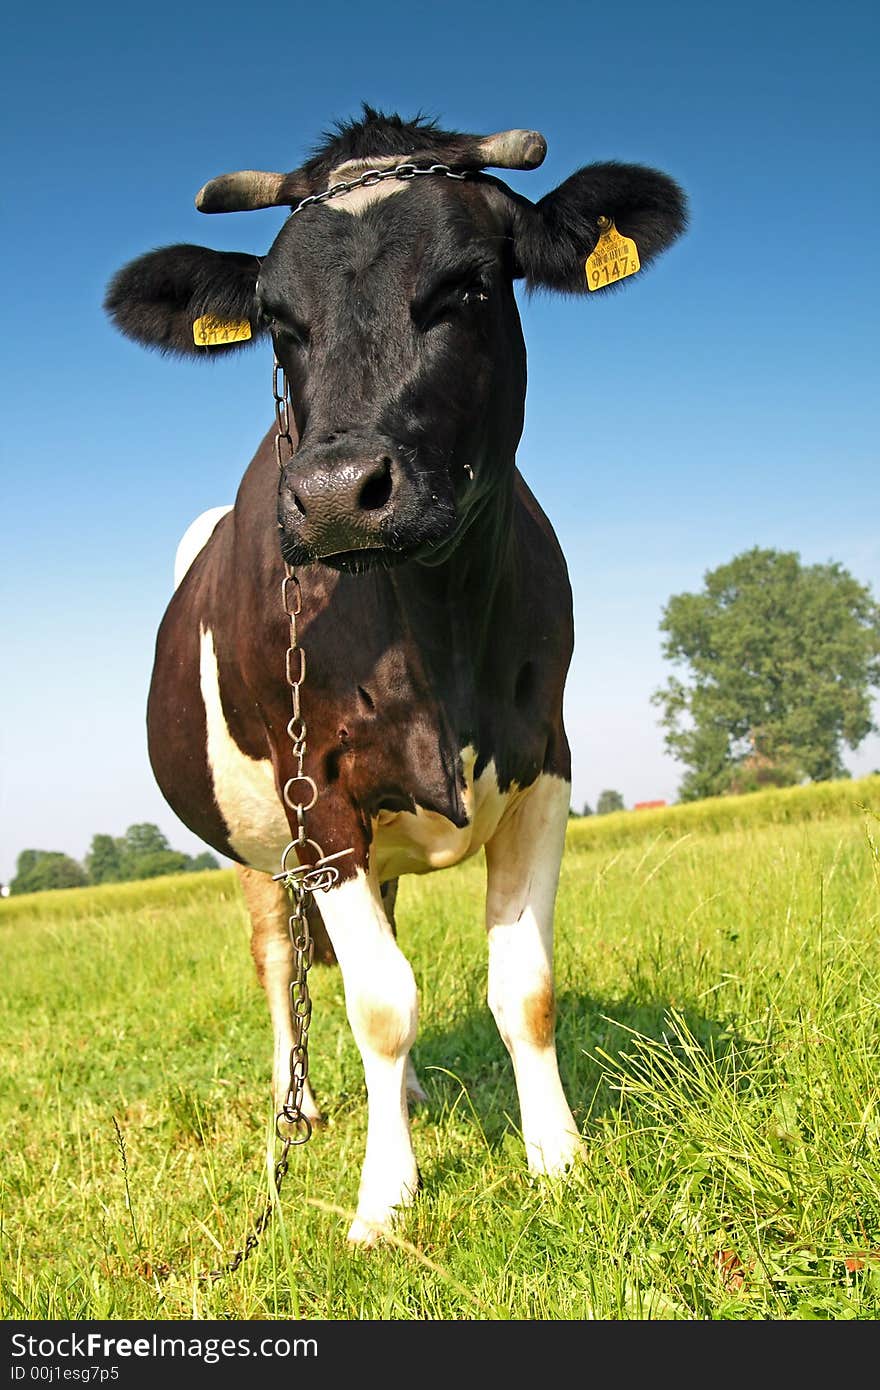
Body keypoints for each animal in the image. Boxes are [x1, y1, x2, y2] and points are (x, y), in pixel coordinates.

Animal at [101, 102, 678, 1245]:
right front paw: (383, 1198)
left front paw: (556, 1157)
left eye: (468, 284)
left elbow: (524, 987)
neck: (433, 624)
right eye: (277, 319)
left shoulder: (544, 758)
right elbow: (376, 1003)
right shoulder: (316, 796)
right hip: (255, 845)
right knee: (283, 963)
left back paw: (401, 1098)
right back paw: (307, 1109)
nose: (332, 493)